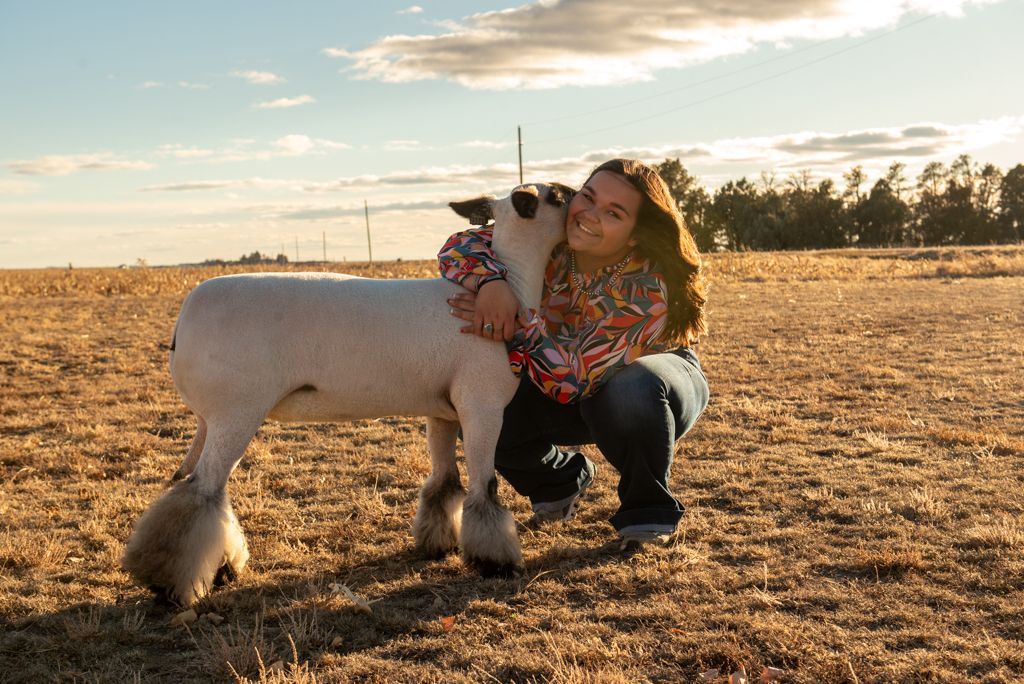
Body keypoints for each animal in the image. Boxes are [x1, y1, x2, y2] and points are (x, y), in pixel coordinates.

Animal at [121, 182, 574, 607]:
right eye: (557, 196)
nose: (576, 192)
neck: (509, 283)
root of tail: (182, 323)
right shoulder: (482, 405)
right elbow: (485, 489)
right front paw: (496, 563)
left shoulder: (443, 411)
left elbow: (444, 482)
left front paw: (436, 543)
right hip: (235, 412)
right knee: (201, 493)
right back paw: (169, 583)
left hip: (217, 418)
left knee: (201, 490)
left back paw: (216, 568)